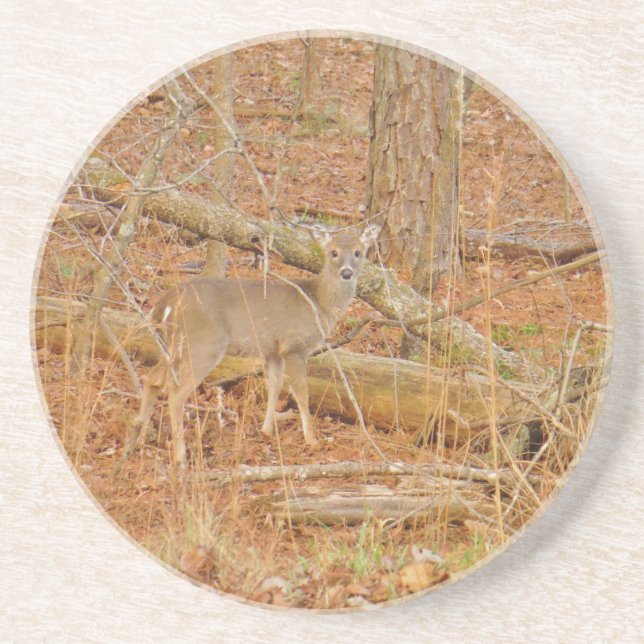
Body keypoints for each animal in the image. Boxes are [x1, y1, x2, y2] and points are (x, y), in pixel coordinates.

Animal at [117, 223, 381, 470]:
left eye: (358, 252)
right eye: (333, 252)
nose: (346, 272)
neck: (319, 304)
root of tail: (166, 303)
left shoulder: (273, 350)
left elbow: (274, 385)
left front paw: (266, 430)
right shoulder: (294, 345)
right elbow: (301, 392)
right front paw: (312, 440)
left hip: (172, 346)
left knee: (153, 379)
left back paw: (135, 438)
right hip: (204, 345)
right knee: (176, 393)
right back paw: (180, 457)